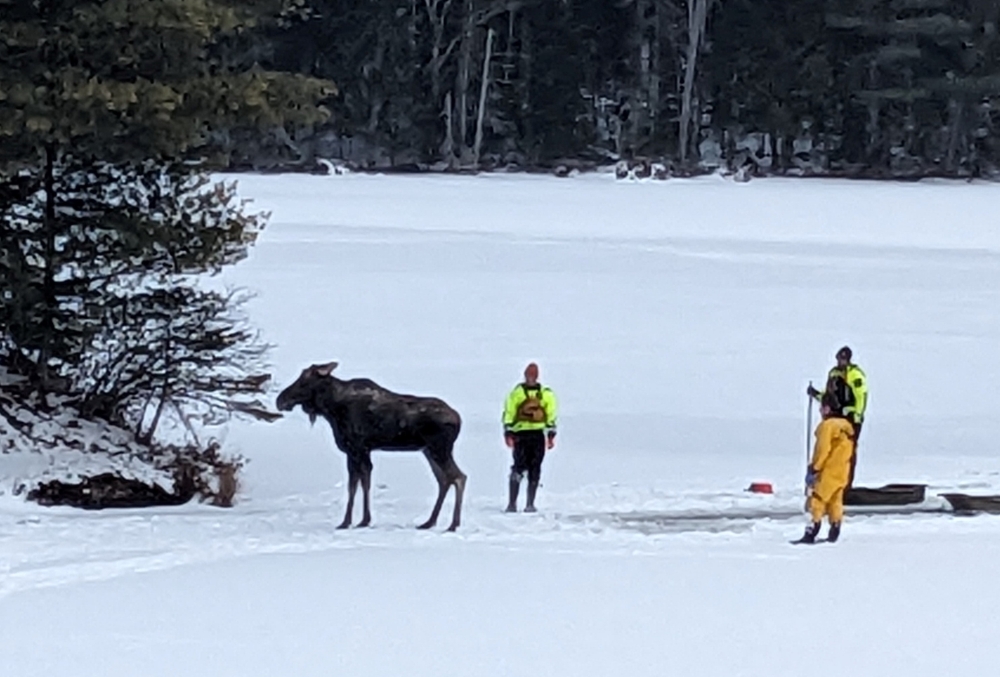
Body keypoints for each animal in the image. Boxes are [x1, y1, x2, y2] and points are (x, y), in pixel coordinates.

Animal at [278, 362, 468, 532]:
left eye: (304, 381)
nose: (280, 400)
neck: (331, 408)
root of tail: (458, 420)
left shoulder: (356, 449)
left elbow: (355, 485)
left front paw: (349, 522)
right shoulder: (361, 451)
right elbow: (363, 483)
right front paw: (362, 520)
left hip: (439, 449)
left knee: (459, 477)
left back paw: (452, 525)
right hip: (428, 450)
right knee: (444, 480)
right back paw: (429, 522)